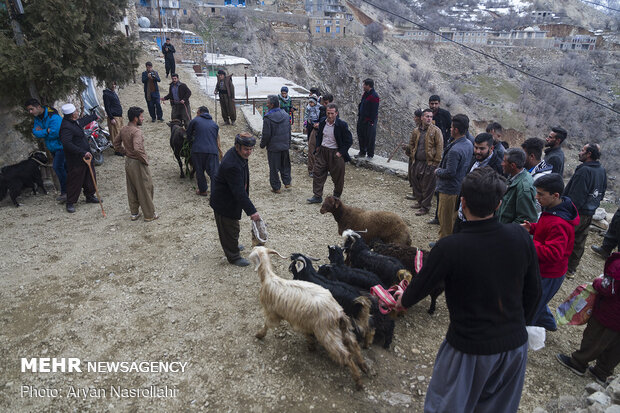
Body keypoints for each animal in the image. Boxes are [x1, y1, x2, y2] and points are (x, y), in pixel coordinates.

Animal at [248, 246, 368, 388]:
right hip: (343, 328)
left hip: (326, 333)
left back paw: (358, 381)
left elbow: (267, 324)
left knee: (345, 355)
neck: (269, 278)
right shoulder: (302, 320)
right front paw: (311, 345)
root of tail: (338, 313)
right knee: (353, 344)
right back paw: (364, 366)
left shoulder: (272, 312)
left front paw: (259, 334)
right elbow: (306, 333)